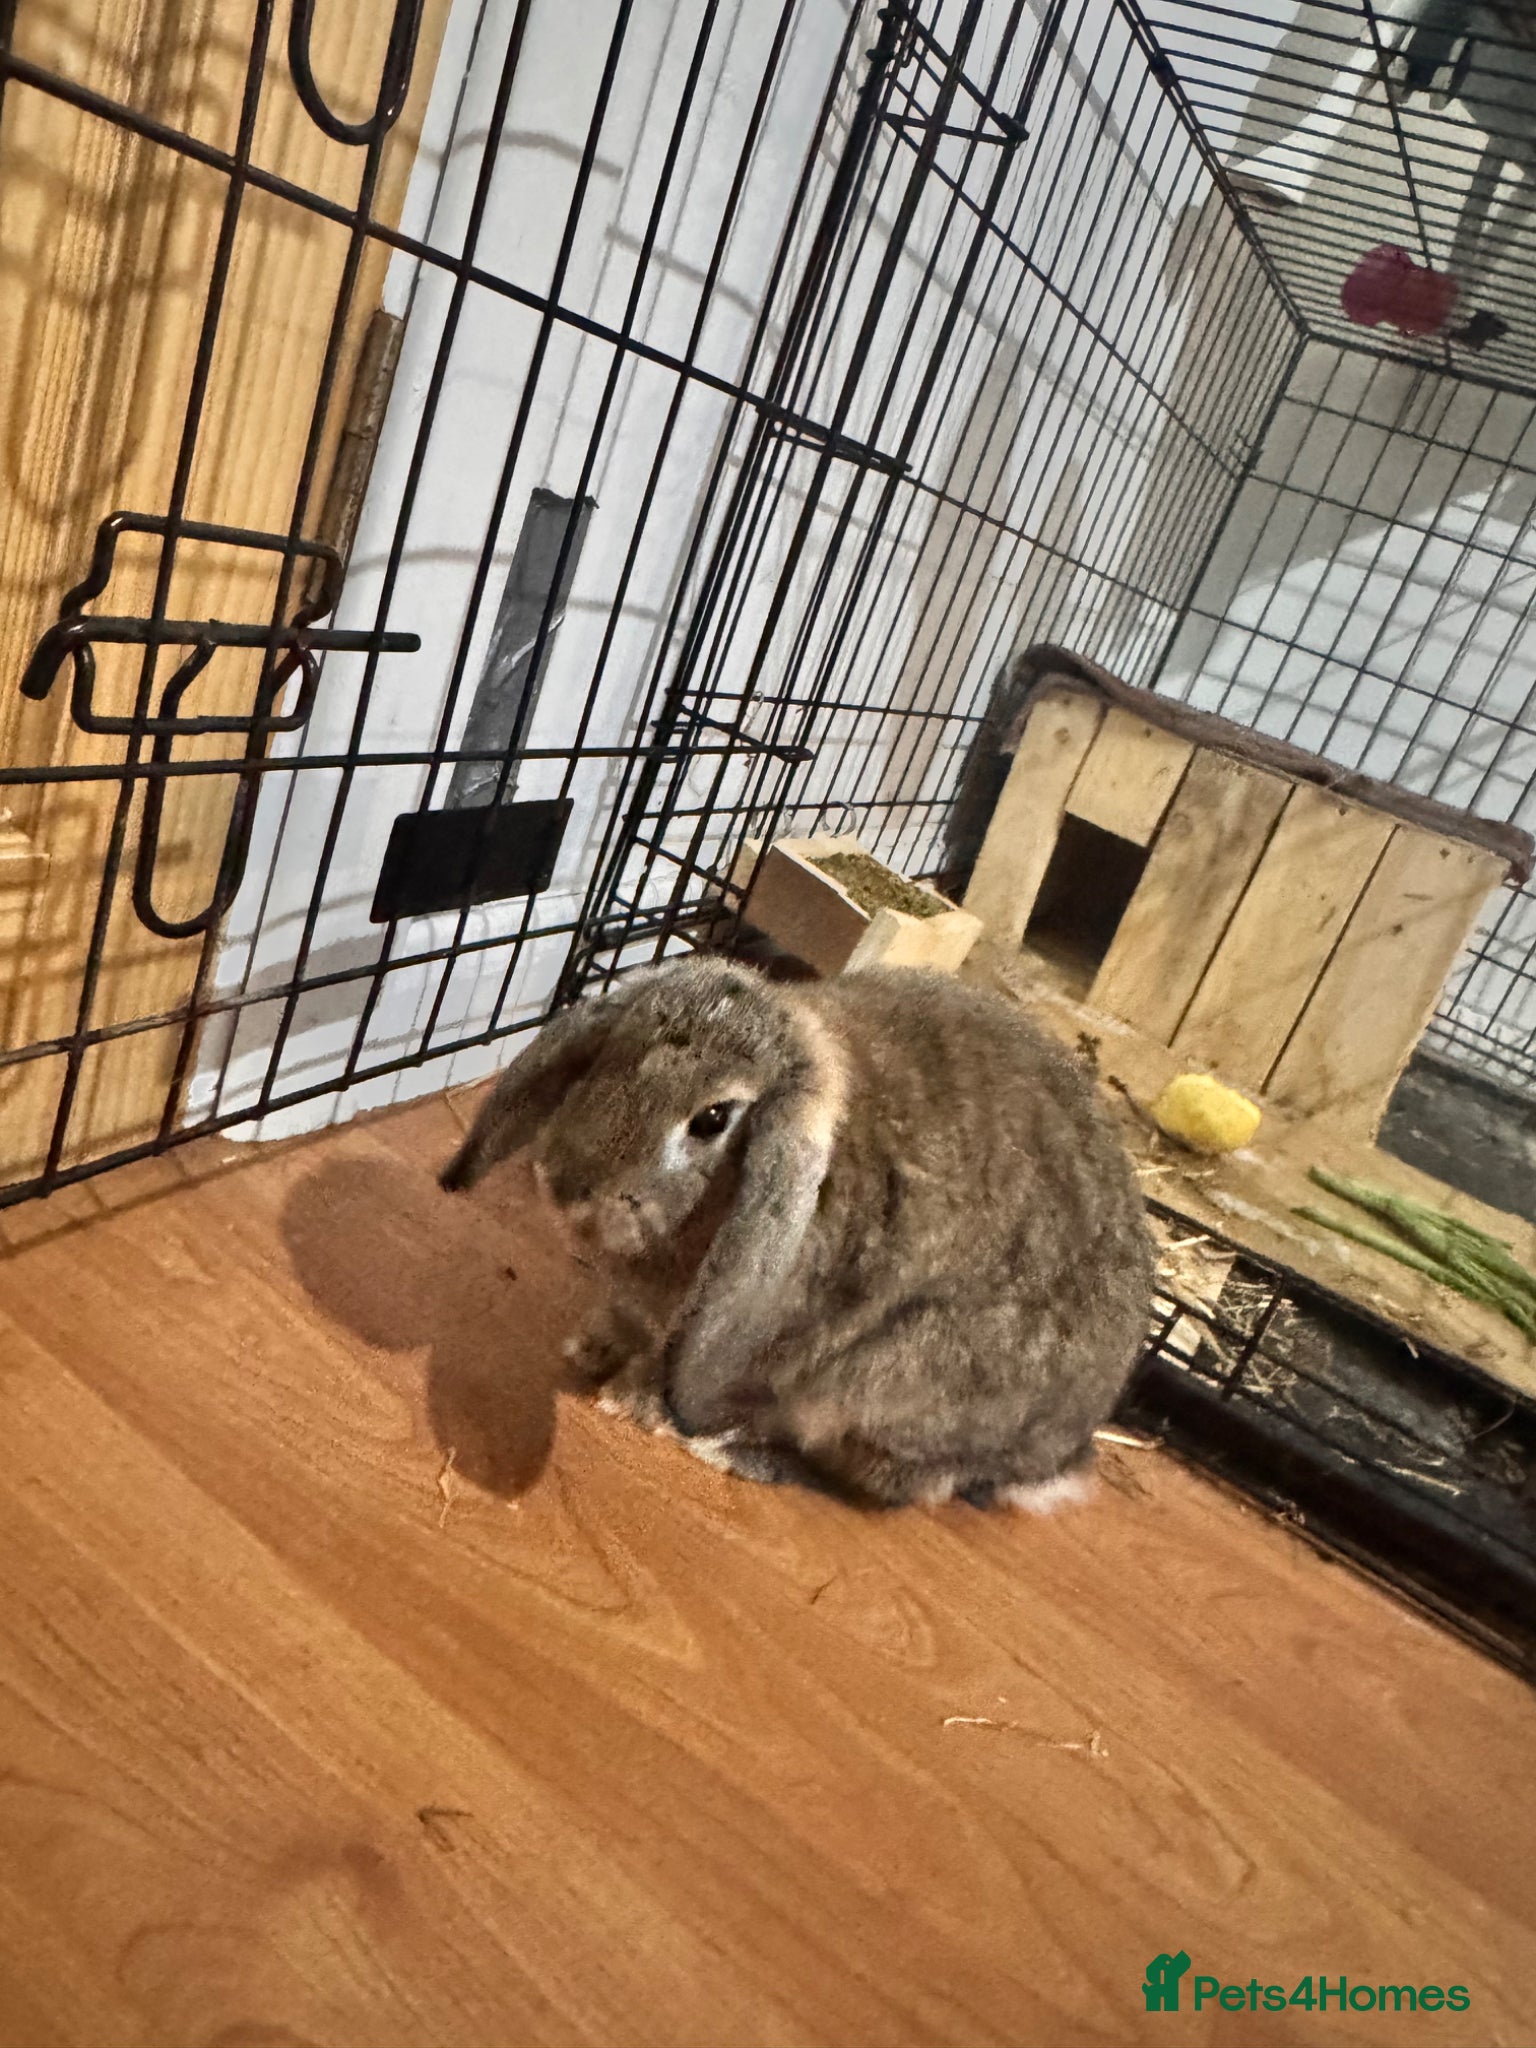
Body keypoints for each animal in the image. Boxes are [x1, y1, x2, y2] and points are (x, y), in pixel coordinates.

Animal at [439, 956, 1155, 1509]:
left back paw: (728, 1451)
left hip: (886, 1383)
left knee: (879, 1482)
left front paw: (630, 1402)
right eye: (606, 1060)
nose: (568, 1185)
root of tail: (1060, 1453)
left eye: (712, 1119)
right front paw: (590, 1348)